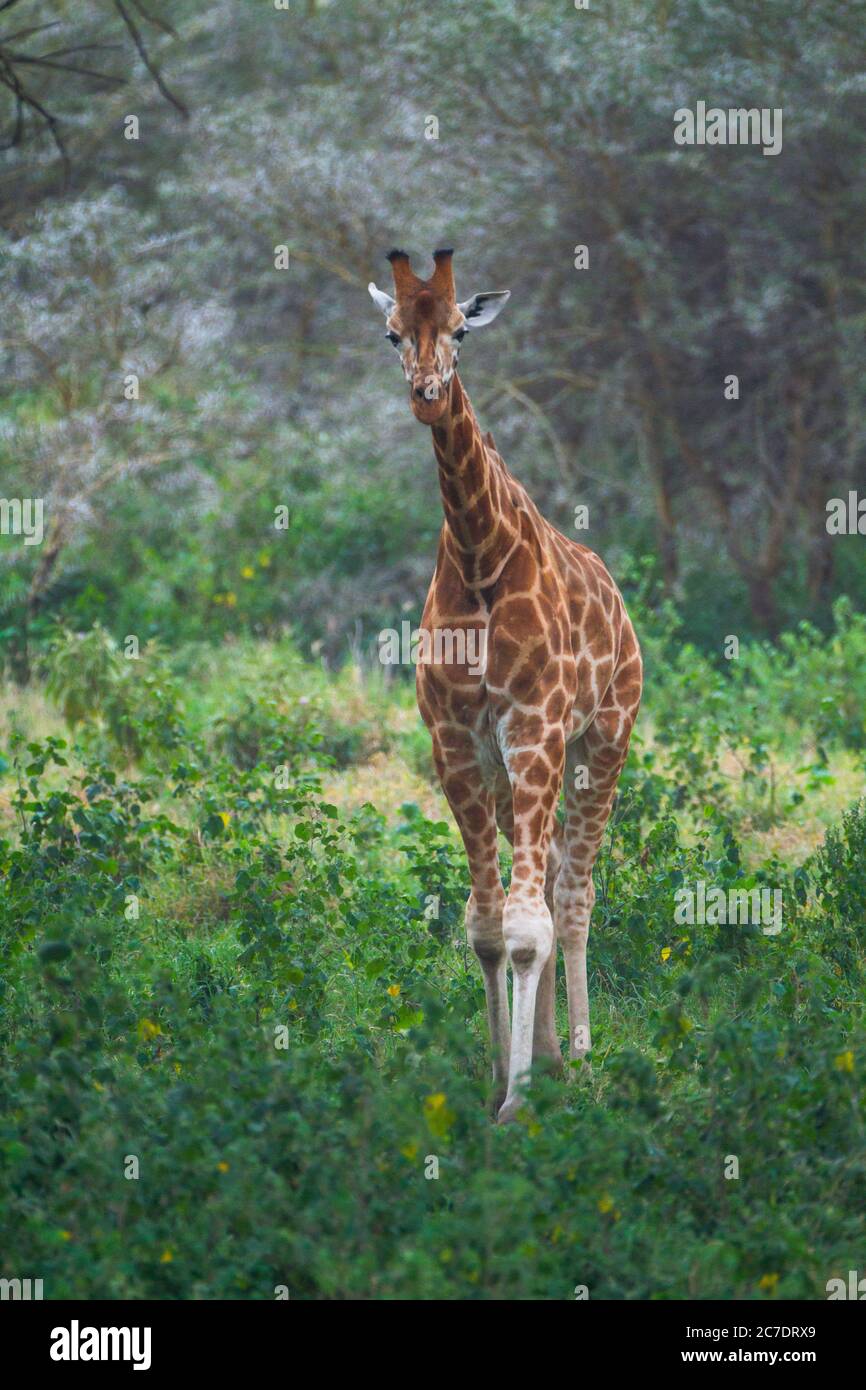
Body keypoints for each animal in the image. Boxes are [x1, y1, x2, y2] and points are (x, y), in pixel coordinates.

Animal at [366, 247, 644, 1117]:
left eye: (461, 329)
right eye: (392, 334)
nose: (426, 395)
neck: (479, 555)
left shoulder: (536, 727)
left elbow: (527, 925)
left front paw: (517, 1105)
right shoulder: (458, 743)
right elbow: (489, 926)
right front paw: (497, 1079)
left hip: (602, 741)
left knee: (574, 893)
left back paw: (579, 1054)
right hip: (511, 770)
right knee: (549, 883)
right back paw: (551, 1053)